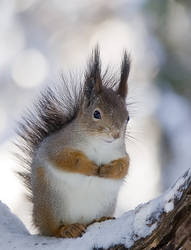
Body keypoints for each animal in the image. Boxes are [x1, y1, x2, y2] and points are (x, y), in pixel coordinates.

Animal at [16, 47, 131, 238]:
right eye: (96, 114)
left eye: (128, 117)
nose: (115, 134)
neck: (100, 145)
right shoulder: (57, 146)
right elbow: (67, 160)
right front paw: (90, 167)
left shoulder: (121, 153)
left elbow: (124, 167)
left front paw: (107, 170)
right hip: (52, 204)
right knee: (52, 230)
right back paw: (67, 229)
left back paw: (100, 219)